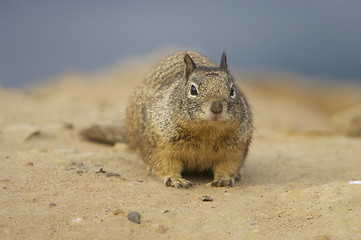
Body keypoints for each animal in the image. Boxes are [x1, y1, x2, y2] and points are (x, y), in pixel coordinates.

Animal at [81, 51, 253, 188]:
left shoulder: (235, 150)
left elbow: (228, 166)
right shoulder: (160, 146)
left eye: (232, 90)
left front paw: (224, 179)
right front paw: (176, 180)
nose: (217, 108)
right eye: (193, 89)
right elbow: (165, 164)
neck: (206, 131)